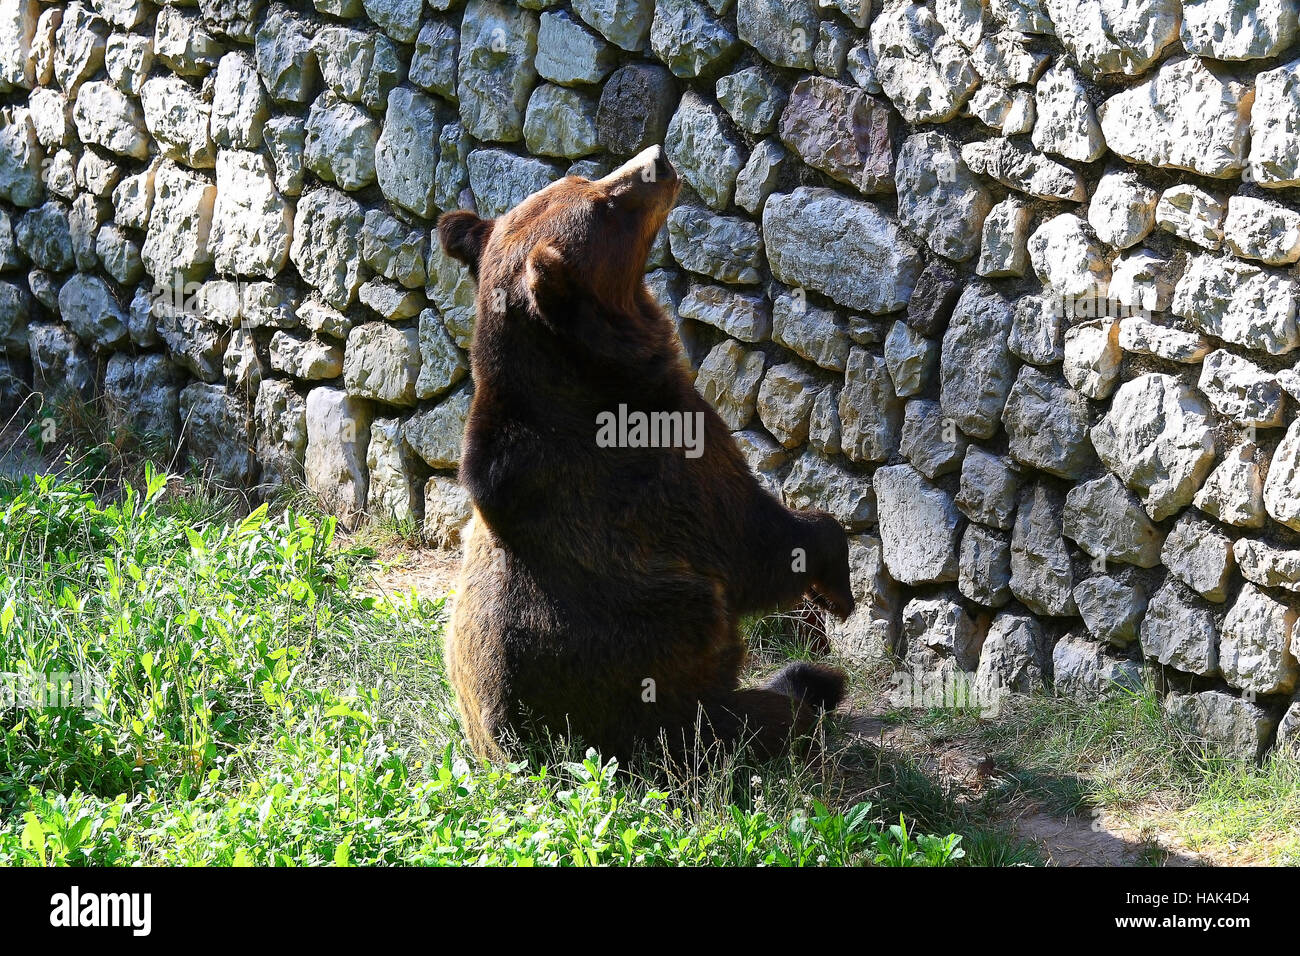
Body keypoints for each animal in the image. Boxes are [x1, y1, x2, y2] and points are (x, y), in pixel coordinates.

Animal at [439, 145, 852, 764]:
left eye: (580, 177)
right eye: (605, 204)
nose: (654, 159)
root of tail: (518, 755)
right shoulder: (659, 472)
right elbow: (754, 540)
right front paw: (835, 590)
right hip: (675, 716)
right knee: (765, 716)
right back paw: (815, 686)